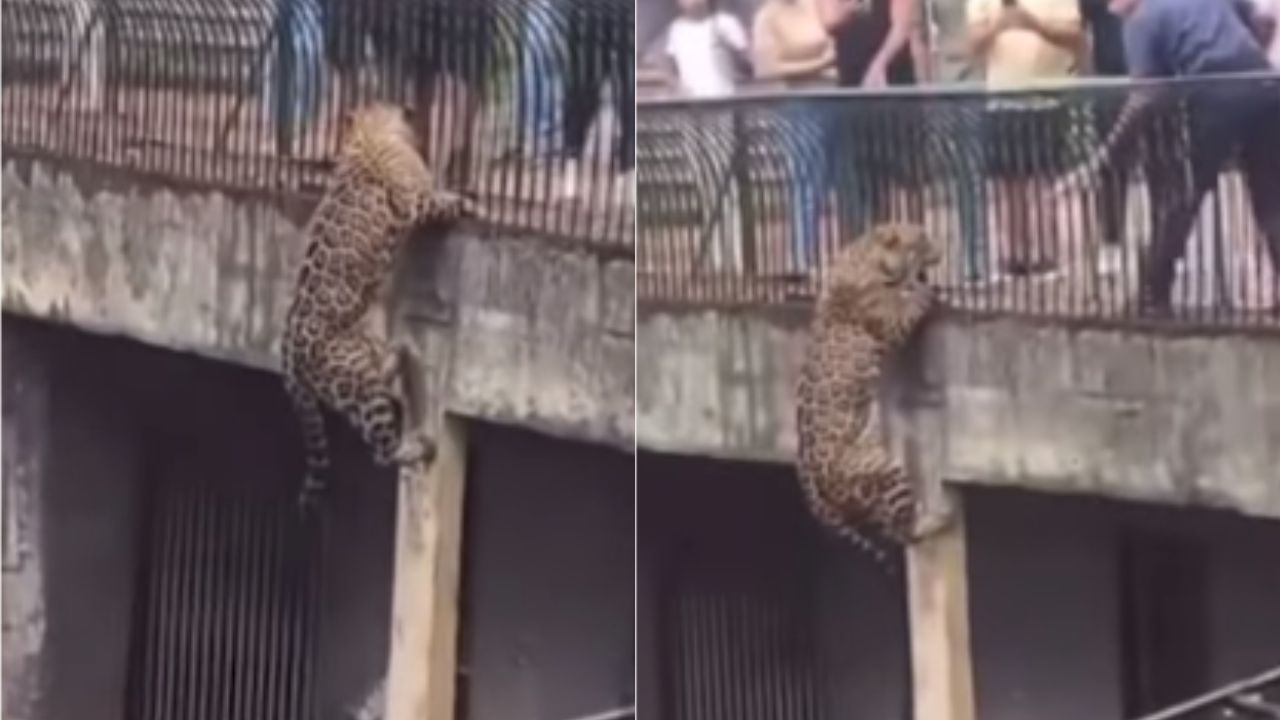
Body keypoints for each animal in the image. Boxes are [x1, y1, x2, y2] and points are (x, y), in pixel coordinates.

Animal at [282, 101, 478, 504]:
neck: (368, 132)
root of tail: (288, 355)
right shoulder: (416, 200)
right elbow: (440, 201)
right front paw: (465, 201)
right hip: (360, 388)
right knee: (382, 451)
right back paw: (419, 445)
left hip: (356, 365)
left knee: (382, 376)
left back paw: (399, 356)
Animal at [793, 221, 957, 568]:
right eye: (921, 239)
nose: (941, 247)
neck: (868, 254)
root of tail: (810, 476)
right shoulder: (891, 323)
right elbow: (910, 304)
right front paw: (923, 289)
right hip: (882, 467)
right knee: (901, 532)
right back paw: (935, 518)